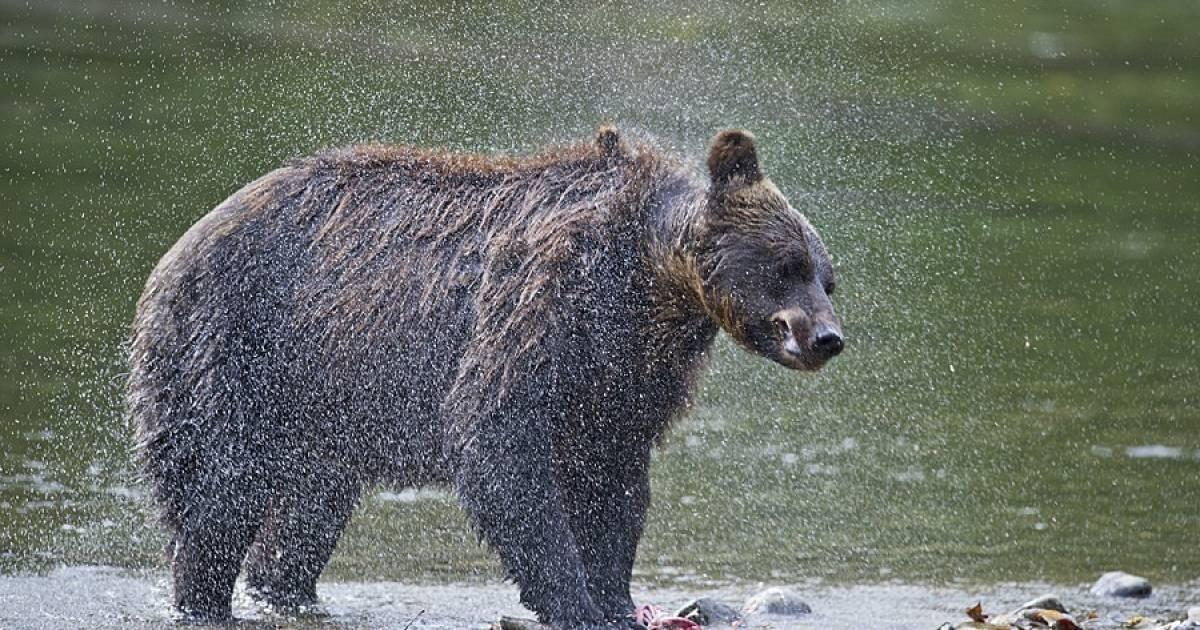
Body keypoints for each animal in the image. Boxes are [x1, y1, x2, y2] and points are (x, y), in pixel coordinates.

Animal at [126, 125, 844, 624]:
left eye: (827, 276)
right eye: (786, 265)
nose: (827, 337)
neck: (650, 278)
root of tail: (178, 247)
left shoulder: (629, 372)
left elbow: (615, 479)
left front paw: (615, 594)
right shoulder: (542, 312)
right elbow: (501, 449)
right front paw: (574, 601)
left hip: (324, 403)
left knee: (308, 510)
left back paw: (288, 589)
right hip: (234, 346)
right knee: (222, 494)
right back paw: (203, 597)